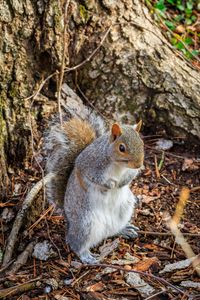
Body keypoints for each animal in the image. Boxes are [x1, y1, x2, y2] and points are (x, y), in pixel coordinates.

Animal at [45, 107, 144, 262]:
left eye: (142, 143)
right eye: (122, 148)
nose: (139, 164)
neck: (118, 166)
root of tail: (69, 223)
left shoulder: (129, 171)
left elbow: (130, 177)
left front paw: (121, 184)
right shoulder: (89, 164)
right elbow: (94, 178)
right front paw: (109, 185)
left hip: (124, 210)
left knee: (112, 231)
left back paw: (124, 230)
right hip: (85, 224)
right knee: (75, 244)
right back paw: (86, 256)